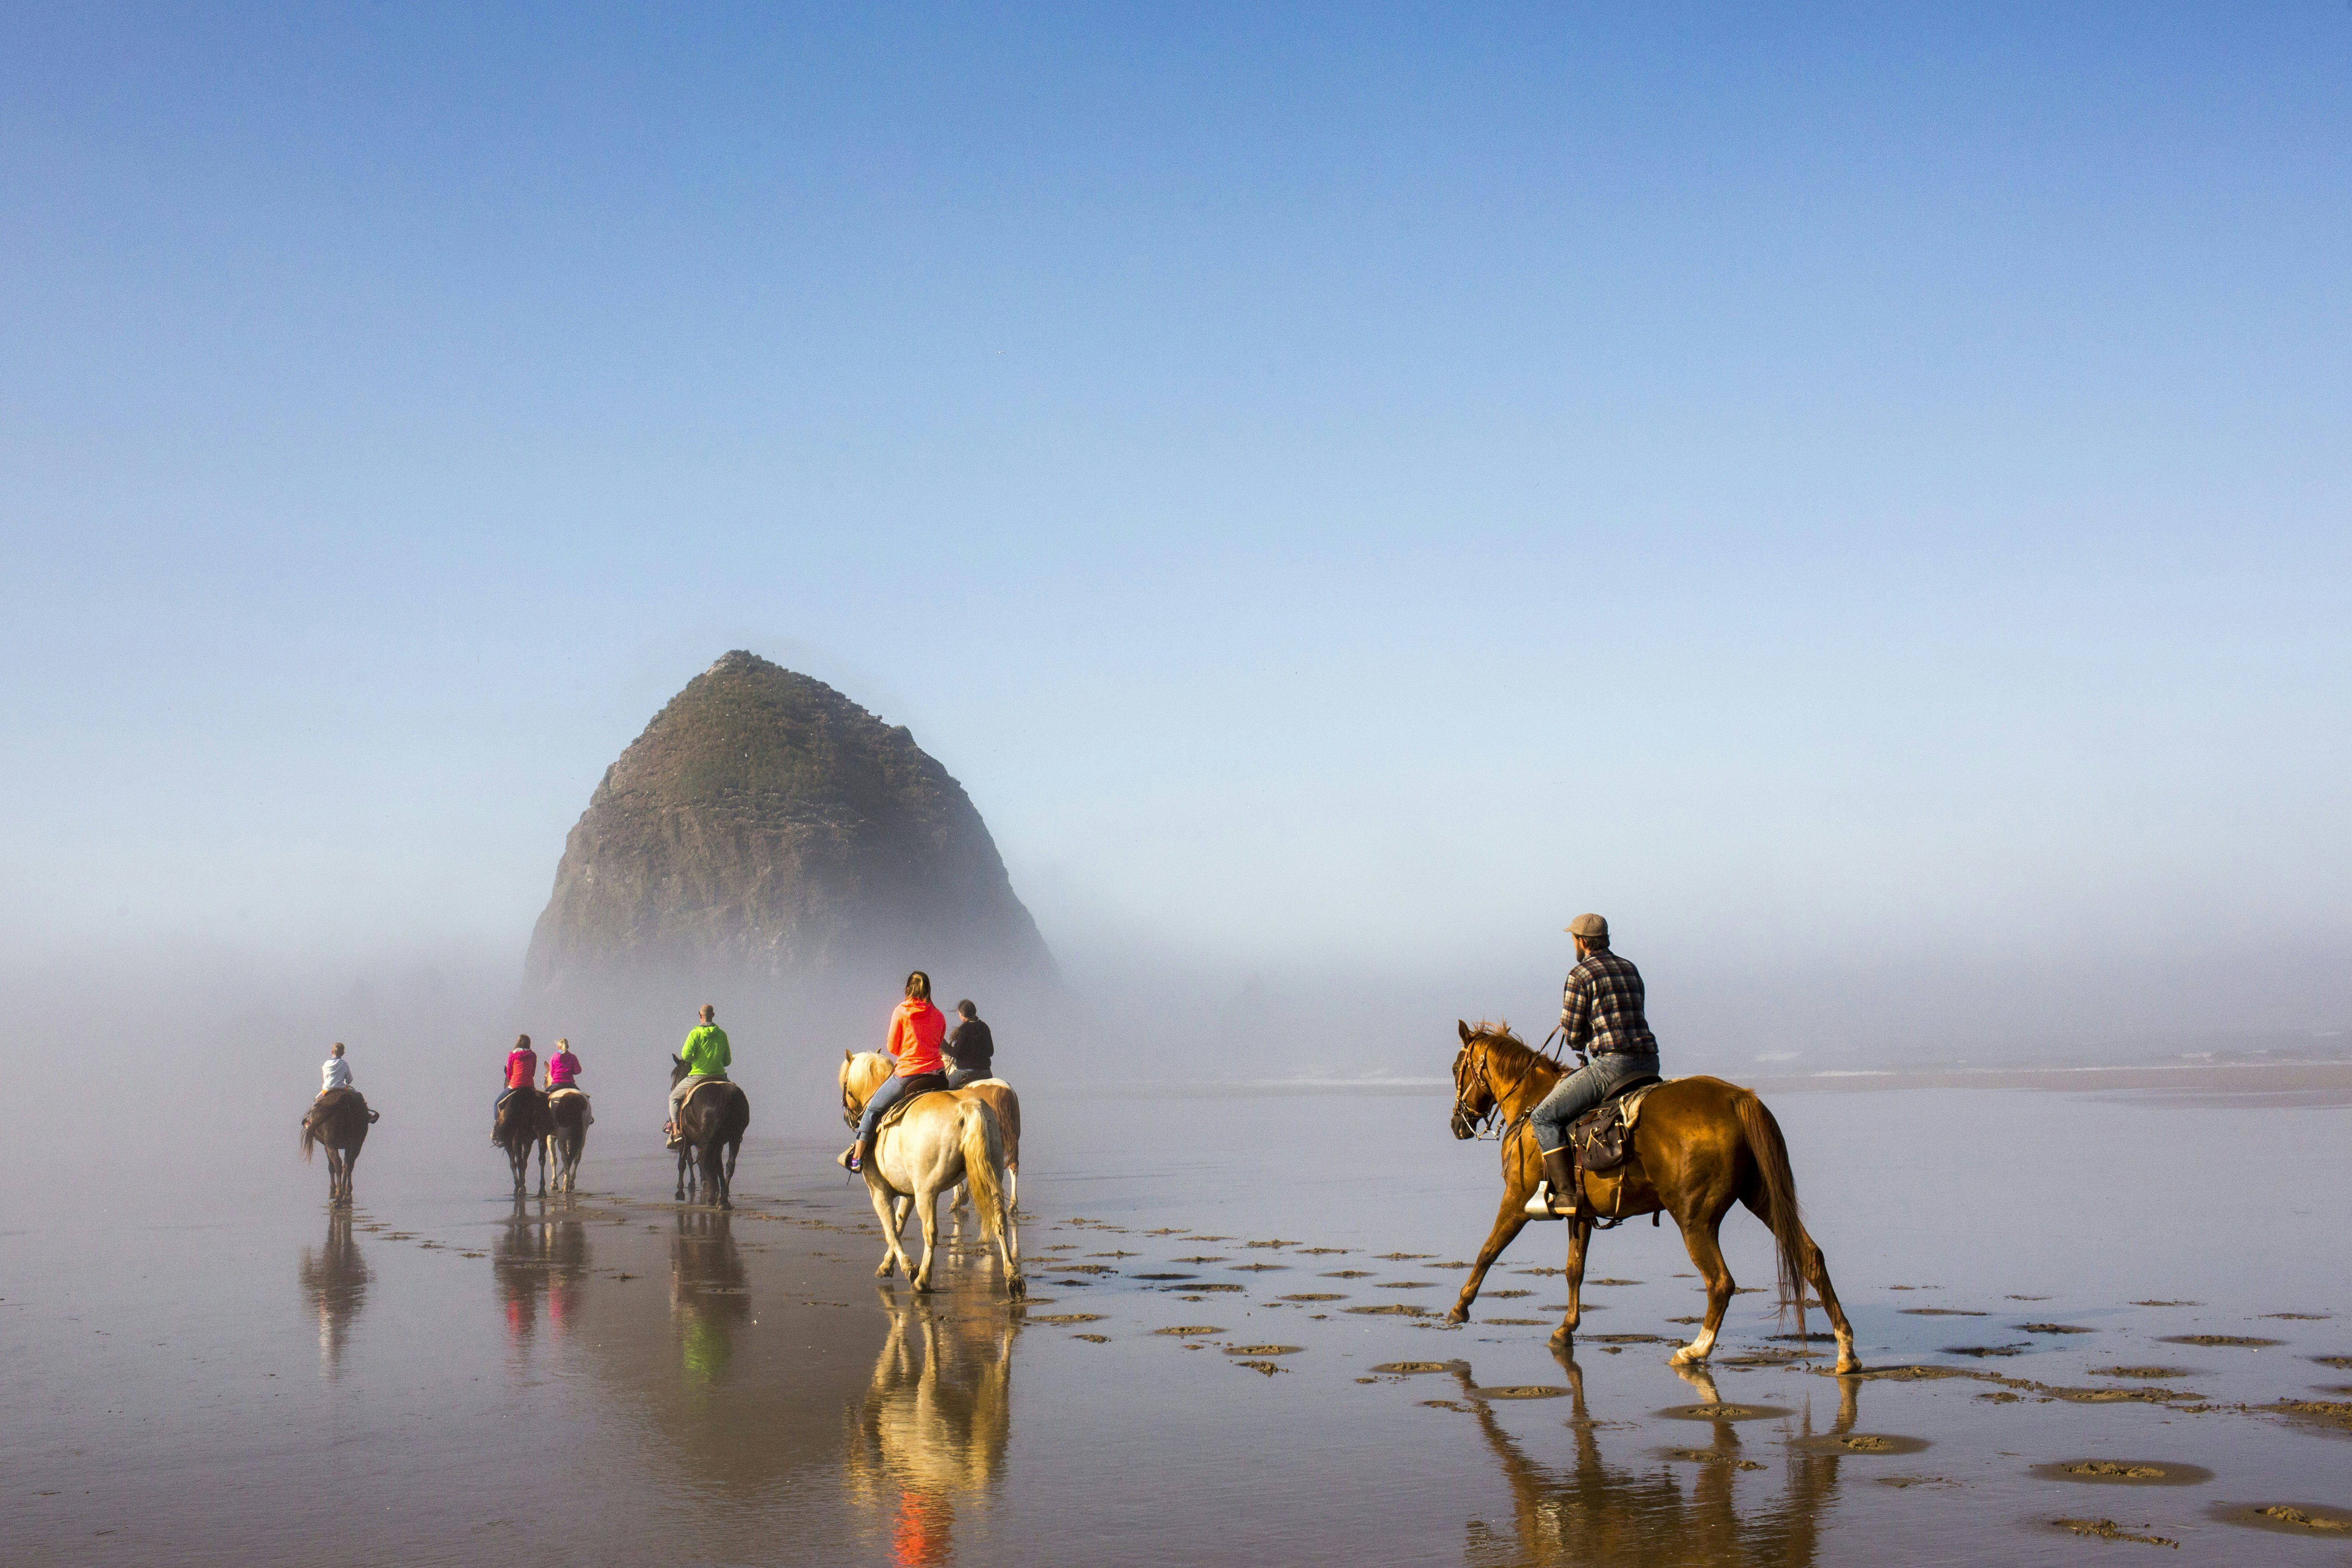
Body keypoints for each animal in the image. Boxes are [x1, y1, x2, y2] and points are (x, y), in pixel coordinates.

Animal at [301, 1086, 379, 1213]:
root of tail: (345, 1099)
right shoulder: (348, 1146)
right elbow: (346, 1166)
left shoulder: (327, 1145)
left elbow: (331, 1167)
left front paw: (334, 1189)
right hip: (357, 1143)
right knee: (349, 1164)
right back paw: (347, 1195)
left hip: (331, 1144)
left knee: (338, 1164)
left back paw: (338, 1198)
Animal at [494, 1091, 552, 1203]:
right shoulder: (528, 1141)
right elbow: (525, 1162)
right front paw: (522, 1184)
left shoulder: (510, 1141)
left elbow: (514, 1163)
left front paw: (518, 1186)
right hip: (541, 1133)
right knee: (541, 1159)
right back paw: (542, 1191)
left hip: (515, 1138)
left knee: (518, 1161)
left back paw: (520, 1189)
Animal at [668, 1053, 748, 1213]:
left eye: (675, 1075)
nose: (673, 1087)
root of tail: (726, 1096)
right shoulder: (719, 1142)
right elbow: (718, 1165)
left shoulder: (686, 1138)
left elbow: (683, 1162)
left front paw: (680, 1192)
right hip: (734, 1137)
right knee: (729, 1164)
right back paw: (722, 1200)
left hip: (707, 1139)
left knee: (705, 1161)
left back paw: (712, 1197)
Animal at [851, 1053, 1025, 1297]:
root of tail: (969, 1107)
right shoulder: (909, 1192)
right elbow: (899, 1223)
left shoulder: (881, 1191)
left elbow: (891, 1228)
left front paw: (905, 1268)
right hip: (997, 1160)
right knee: (1003, 1205)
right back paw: (1013, 1273)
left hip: (927, 1191)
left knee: (930, 1231)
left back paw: (923, 1280)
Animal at [1439, 1020, 1863, 1372]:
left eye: (1457, 1068)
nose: (1457, 1125)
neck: (1532, 1107)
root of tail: (1738, 1099)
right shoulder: (1581, 1213)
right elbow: (1574, 1270)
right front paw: (1566, 1329)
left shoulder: (1516, 1200)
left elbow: (1489, 1250)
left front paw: (1460, 1308)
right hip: (1763, 1200)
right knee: (1810, 1257)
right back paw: (1846, 1351)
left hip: (1695, 1219)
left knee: (1721, 1282)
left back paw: (1695, 1351)